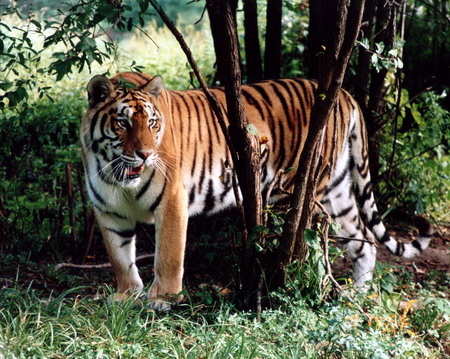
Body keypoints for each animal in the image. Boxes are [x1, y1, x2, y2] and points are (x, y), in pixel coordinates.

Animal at [81, 71, 432, 310]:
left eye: (152, 123)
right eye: (124, 123)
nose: (145, 154)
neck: (117, 173)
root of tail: (343, 92)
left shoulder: (171, 202)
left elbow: (168, 255)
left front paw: (164, 300)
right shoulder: (108, 210)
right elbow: (120, 257)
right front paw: (126, 297)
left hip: (299, 189)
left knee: (308, 238)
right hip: (339, 191)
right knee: (364, 241)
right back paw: (356, 294)